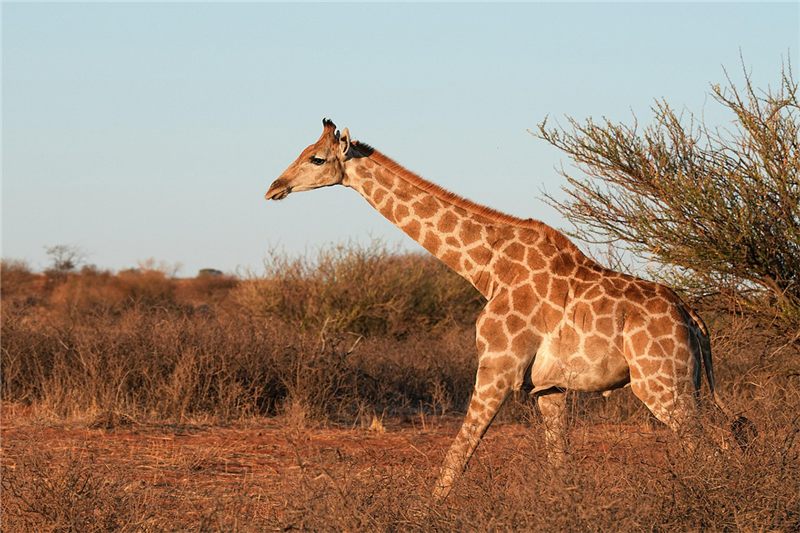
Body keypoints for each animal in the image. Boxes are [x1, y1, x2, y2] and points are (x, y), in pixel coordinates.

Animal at [265, 119, 751, 500]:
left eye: (316, 159)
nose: (274, 187)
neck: (486, 267)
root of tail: (693, 318)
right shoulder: (549, 388)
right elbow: (560, 469)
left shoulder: (498, 366)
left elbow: (457, 456)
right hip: (684, 383)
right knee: (729, 437)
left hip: (662, 383)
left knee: (716, 447)